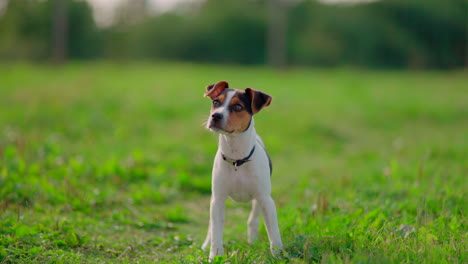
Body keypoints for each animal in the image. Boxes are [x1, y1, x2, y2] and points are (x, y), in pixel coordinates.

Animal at [200, 81, 282, 260]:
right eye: (216, 102)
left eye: (238, 107)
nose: (215, 116)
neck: (237, 160)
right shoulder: (218, 200)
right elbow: (216, 232)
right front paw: (214, 255)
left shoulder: (266, 200)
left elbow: (273, 232)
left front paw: (279, 255)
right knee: (211, 226)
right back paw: (205, 244)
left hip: (259, 200)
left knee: (253, 220)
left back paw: (252, 241)